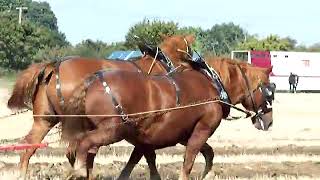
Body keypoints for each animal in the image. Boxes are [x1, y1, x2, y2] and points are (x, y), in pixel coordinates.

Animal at [6, 34, 206, 179]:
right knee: (75, 152)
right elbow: (147, 152)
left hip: (45, 120)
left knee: (29, 146)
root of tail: (54, 66)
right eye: (191, 50)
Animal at [63, 58, 276, 179]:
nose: (269, 121)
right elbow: (189, 161)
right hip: (113, 129)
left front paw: (206, 174)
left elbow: (208, 153)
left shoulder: (170, 136)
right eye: (269, 89)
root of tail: (92, 81)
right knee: (84, 144)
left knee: (86, 151)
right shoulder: (202, 130)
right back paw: (79, 171)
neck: (213, 84)